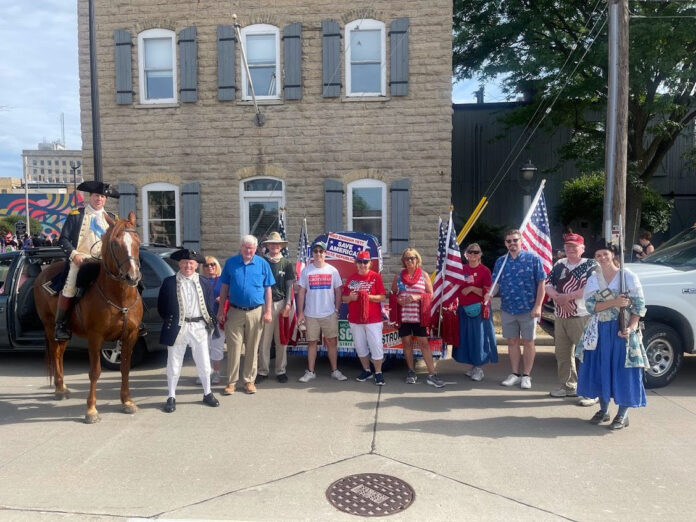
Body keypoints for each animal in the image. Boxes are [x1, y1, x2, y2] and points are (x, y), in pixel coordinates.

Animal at [33, 209, 143, 420]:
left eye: (138, 241)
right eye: (115, 243)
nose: (132, 277)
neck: (119, 298)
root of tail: (43, 272)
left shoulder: (130, 336)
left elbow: (125, 368)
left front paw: (127, 401)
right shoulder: (95, 337)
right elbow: (95, 372)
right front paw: (91, 409)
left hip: (66, 332)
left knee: (60, 353)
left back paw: (62, 387)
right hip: (50, 327)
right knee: (55, 353)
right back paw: (59, 390)